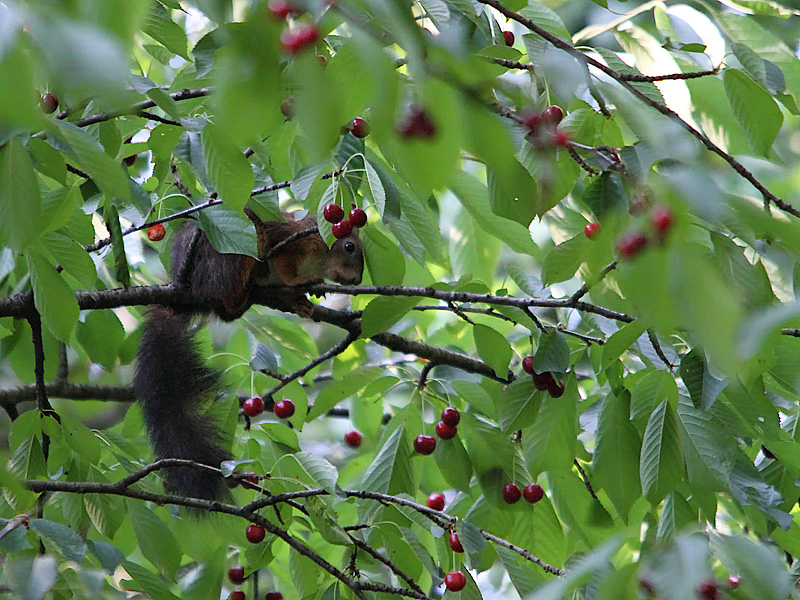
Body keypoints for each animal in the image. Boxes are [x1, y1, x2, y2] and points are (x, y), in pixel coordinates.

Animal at [136, 209, 364, 500]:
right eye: (349, 246)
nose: (356, 281)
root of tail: (189, 291)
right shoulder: (288, 244)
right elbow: (284, 267)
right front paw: (303, 281)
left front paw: (302, 302)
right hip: (232, 259)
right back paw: (240, 295)